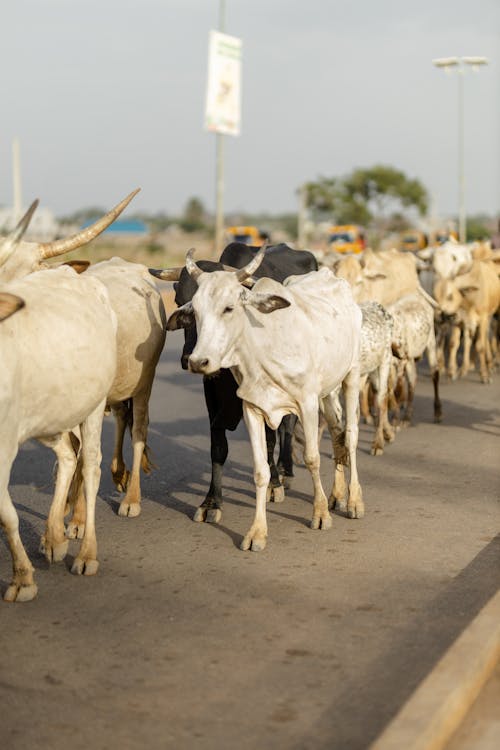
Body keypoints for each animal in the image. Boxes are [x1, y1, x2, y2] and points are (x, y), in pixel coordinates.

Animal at [0, 268, 116, 604]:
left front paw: (22, 579)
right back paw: (54, 537)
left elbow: (7, 515)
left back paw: (87, 554)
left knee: (90, 466)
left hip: (94, 404)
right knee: (66, 458)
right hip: (53, 414)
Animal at [150, 244, 318, 524]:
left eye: (228, 309)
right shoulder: (212, 394)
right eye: (181, 303)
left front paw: (273, 483)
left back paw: (286, 471)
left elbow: (269, 440)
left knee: (287, 426)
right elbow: (218, 447)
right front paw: (211, 502)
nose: (189, 358)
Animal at [165, 250, 364, 548]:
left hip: (351, 375)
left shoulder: (306, 403)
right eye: (193, 310)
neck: (261, 350)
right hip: (328, 389)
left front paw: (319, 514)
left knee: (350, 436)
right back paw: (337, 495)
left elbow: (312, 457)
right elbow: (260, 470)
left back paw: (353, 501)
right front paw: (256, 532)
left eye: (229, 308)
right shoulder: (252, 408)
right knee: (337, 432)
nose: (197, 361)